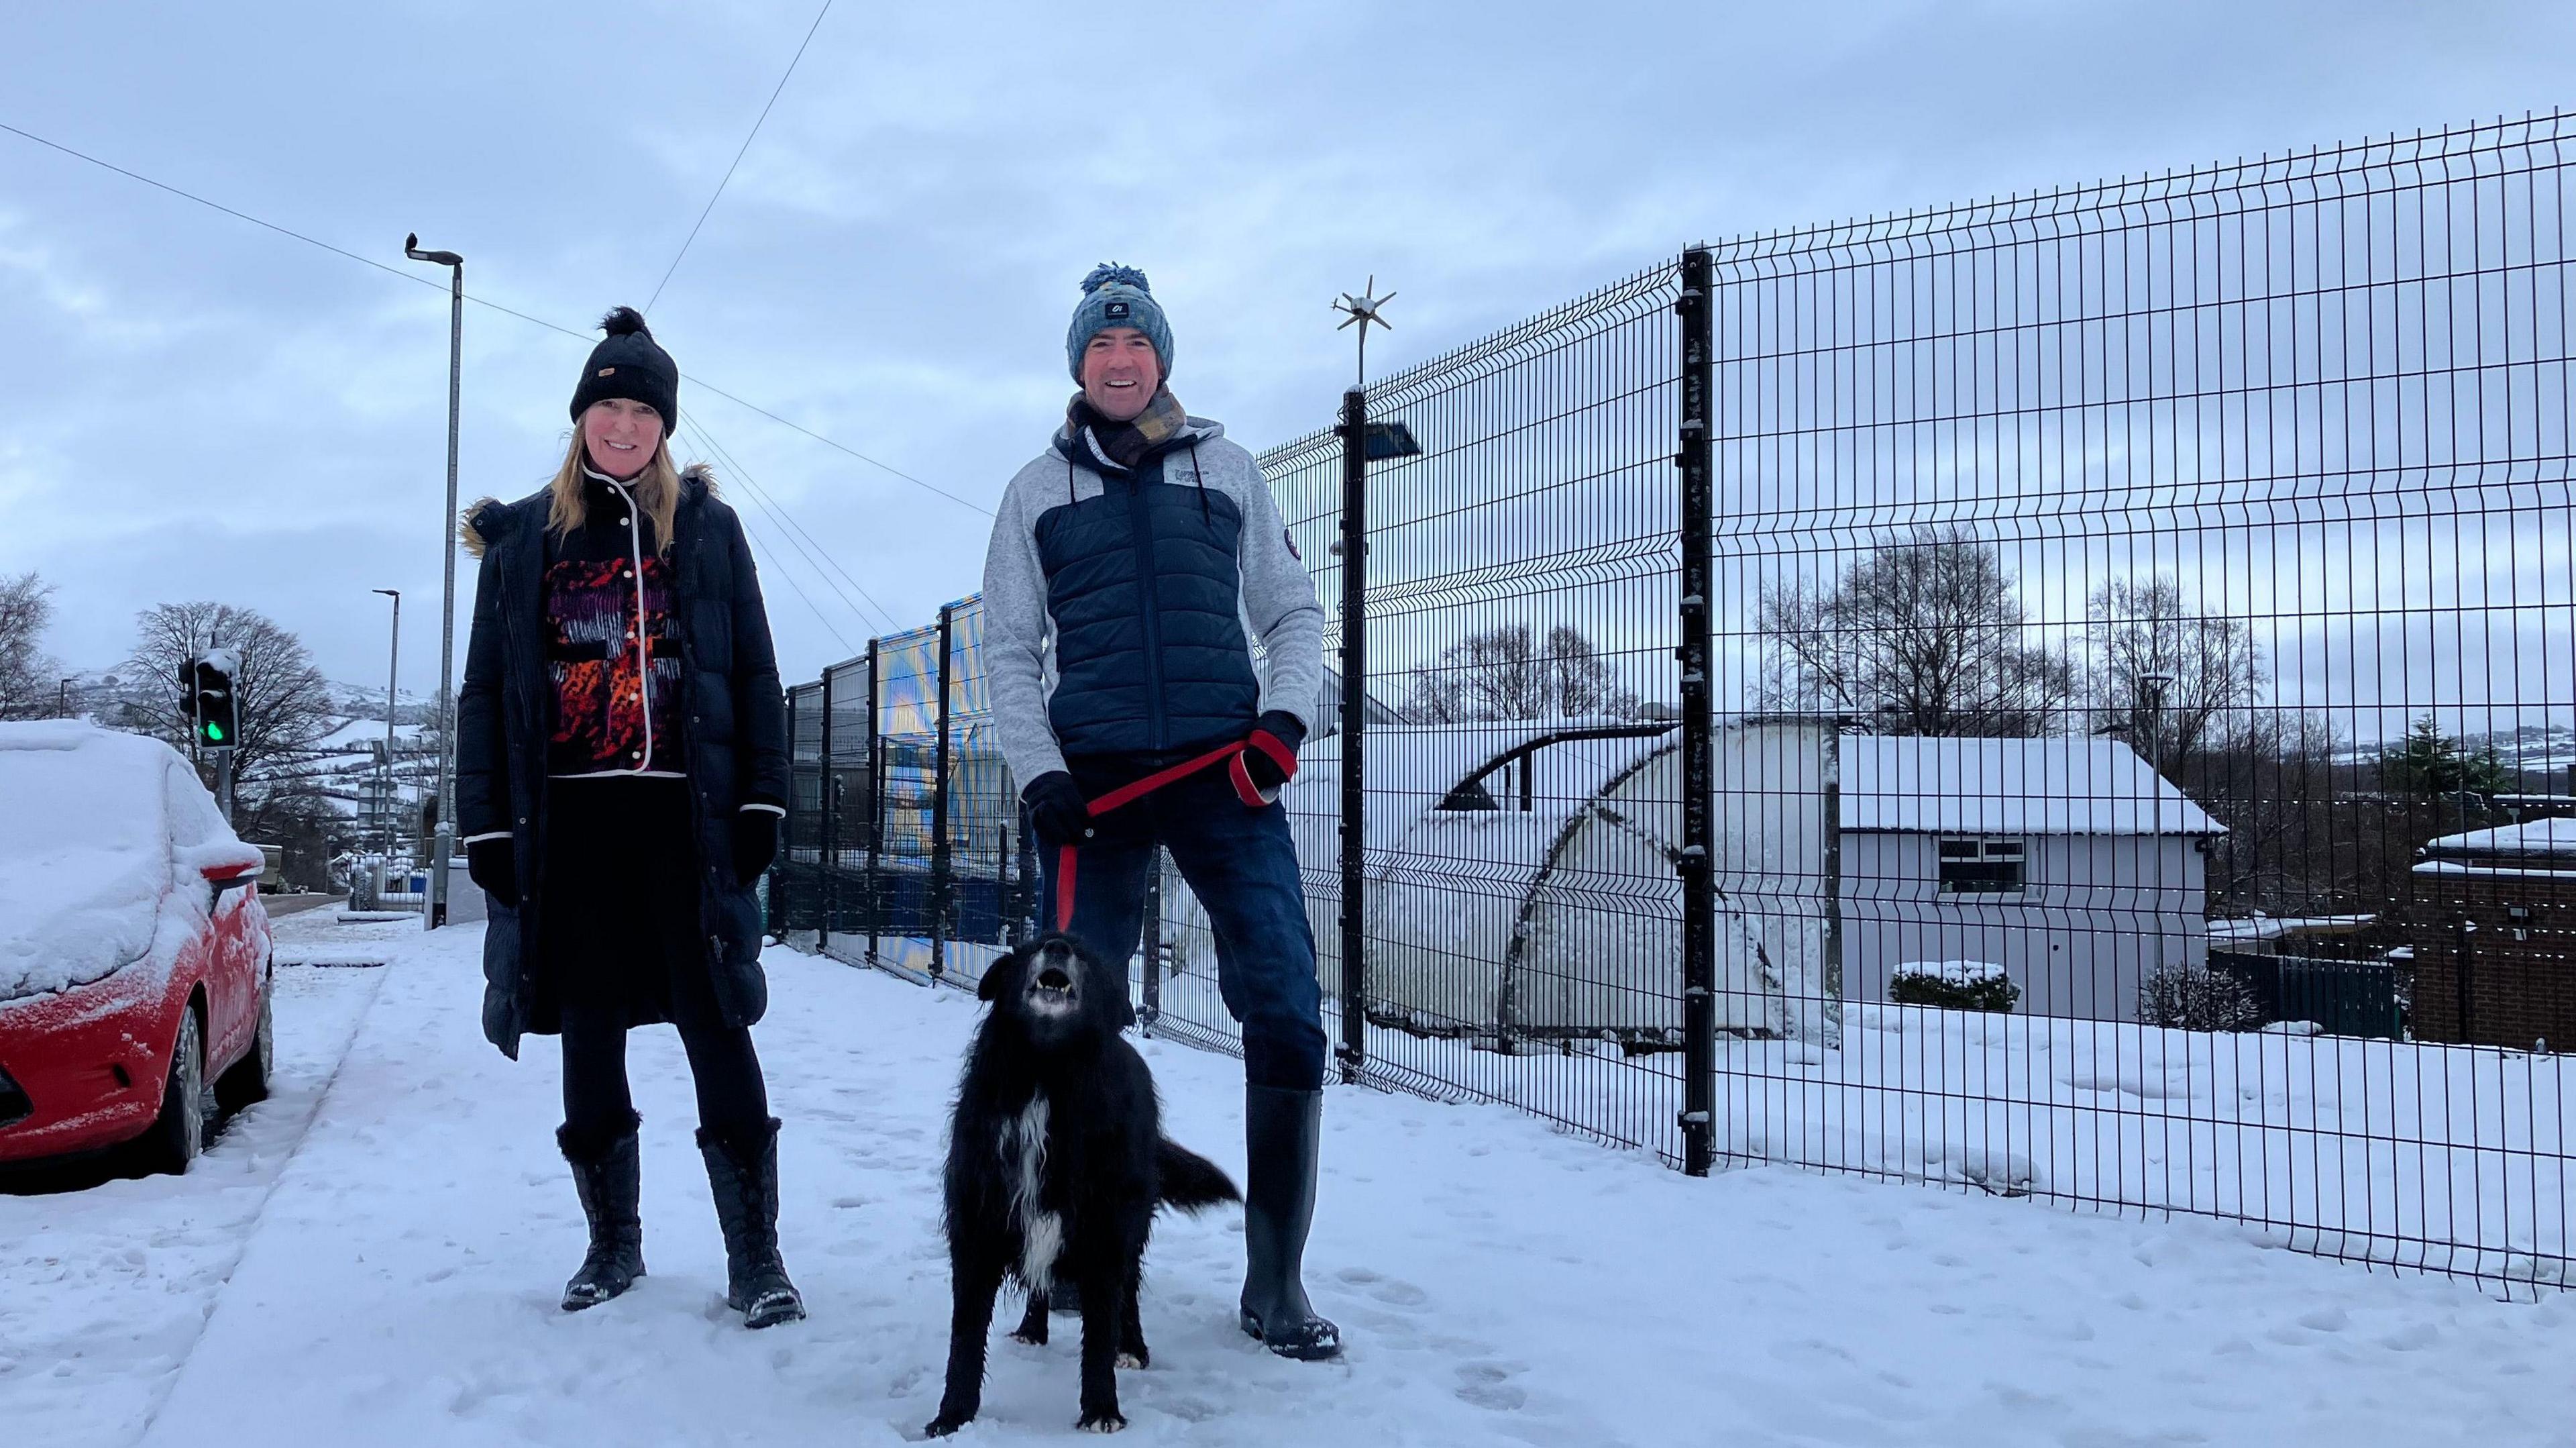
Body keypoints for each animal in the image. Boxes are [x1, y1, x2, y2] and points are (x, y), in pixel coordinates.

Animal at [932, 927, 1241, 1422]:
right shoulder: (978, 1227)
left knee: (1129, 1288)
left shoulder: (1105, 1229)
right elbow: (965, 1335)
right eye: (1033, 946)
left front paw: (1101, 1413)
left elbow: (1099, 1331)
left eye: (1083, 955)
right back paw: (1032, 1329)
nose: (1057, 948)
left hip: (1130, 1220)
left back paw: (1131, 1346)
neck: (1046, 1073)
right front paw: (952, 1418)